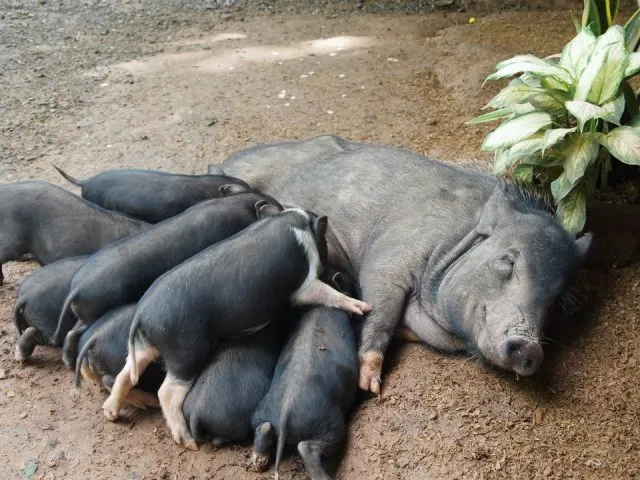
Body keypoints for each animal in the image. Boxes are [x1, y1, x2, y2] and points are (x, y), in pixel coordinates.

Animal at [54, 192, 284, 361]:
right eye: (277, 207)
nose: (282, 207)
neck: (237, 205)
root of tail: (78, 288)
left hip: (85, 312)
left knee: (73, 331)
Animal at [100, 208, 372, 451]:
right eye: (325, 242)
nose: (340, 267)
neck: (297, 223)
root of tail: (142, 315)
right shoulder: (304, 285)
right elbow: (324, 293)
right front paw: (363, 307)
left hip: (146, 347)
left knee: (126, 373)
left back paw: (111, 413)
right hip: (185, 349)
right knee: (165, 392)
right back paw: (189, 443)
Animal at [220, 134, 593, 394]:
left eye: (555, 301)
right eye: (508, 260)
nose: (529, 348)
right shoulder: (391, 253)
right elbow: (380, 309)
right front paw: (369, 387)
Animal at [251, 271, 359, 480]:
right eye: (347, 278)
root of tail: (285, 412)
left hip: (260, 412)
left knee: (264, 427)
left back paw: (257, 462)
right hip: (329, 424)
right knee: (307, 447)